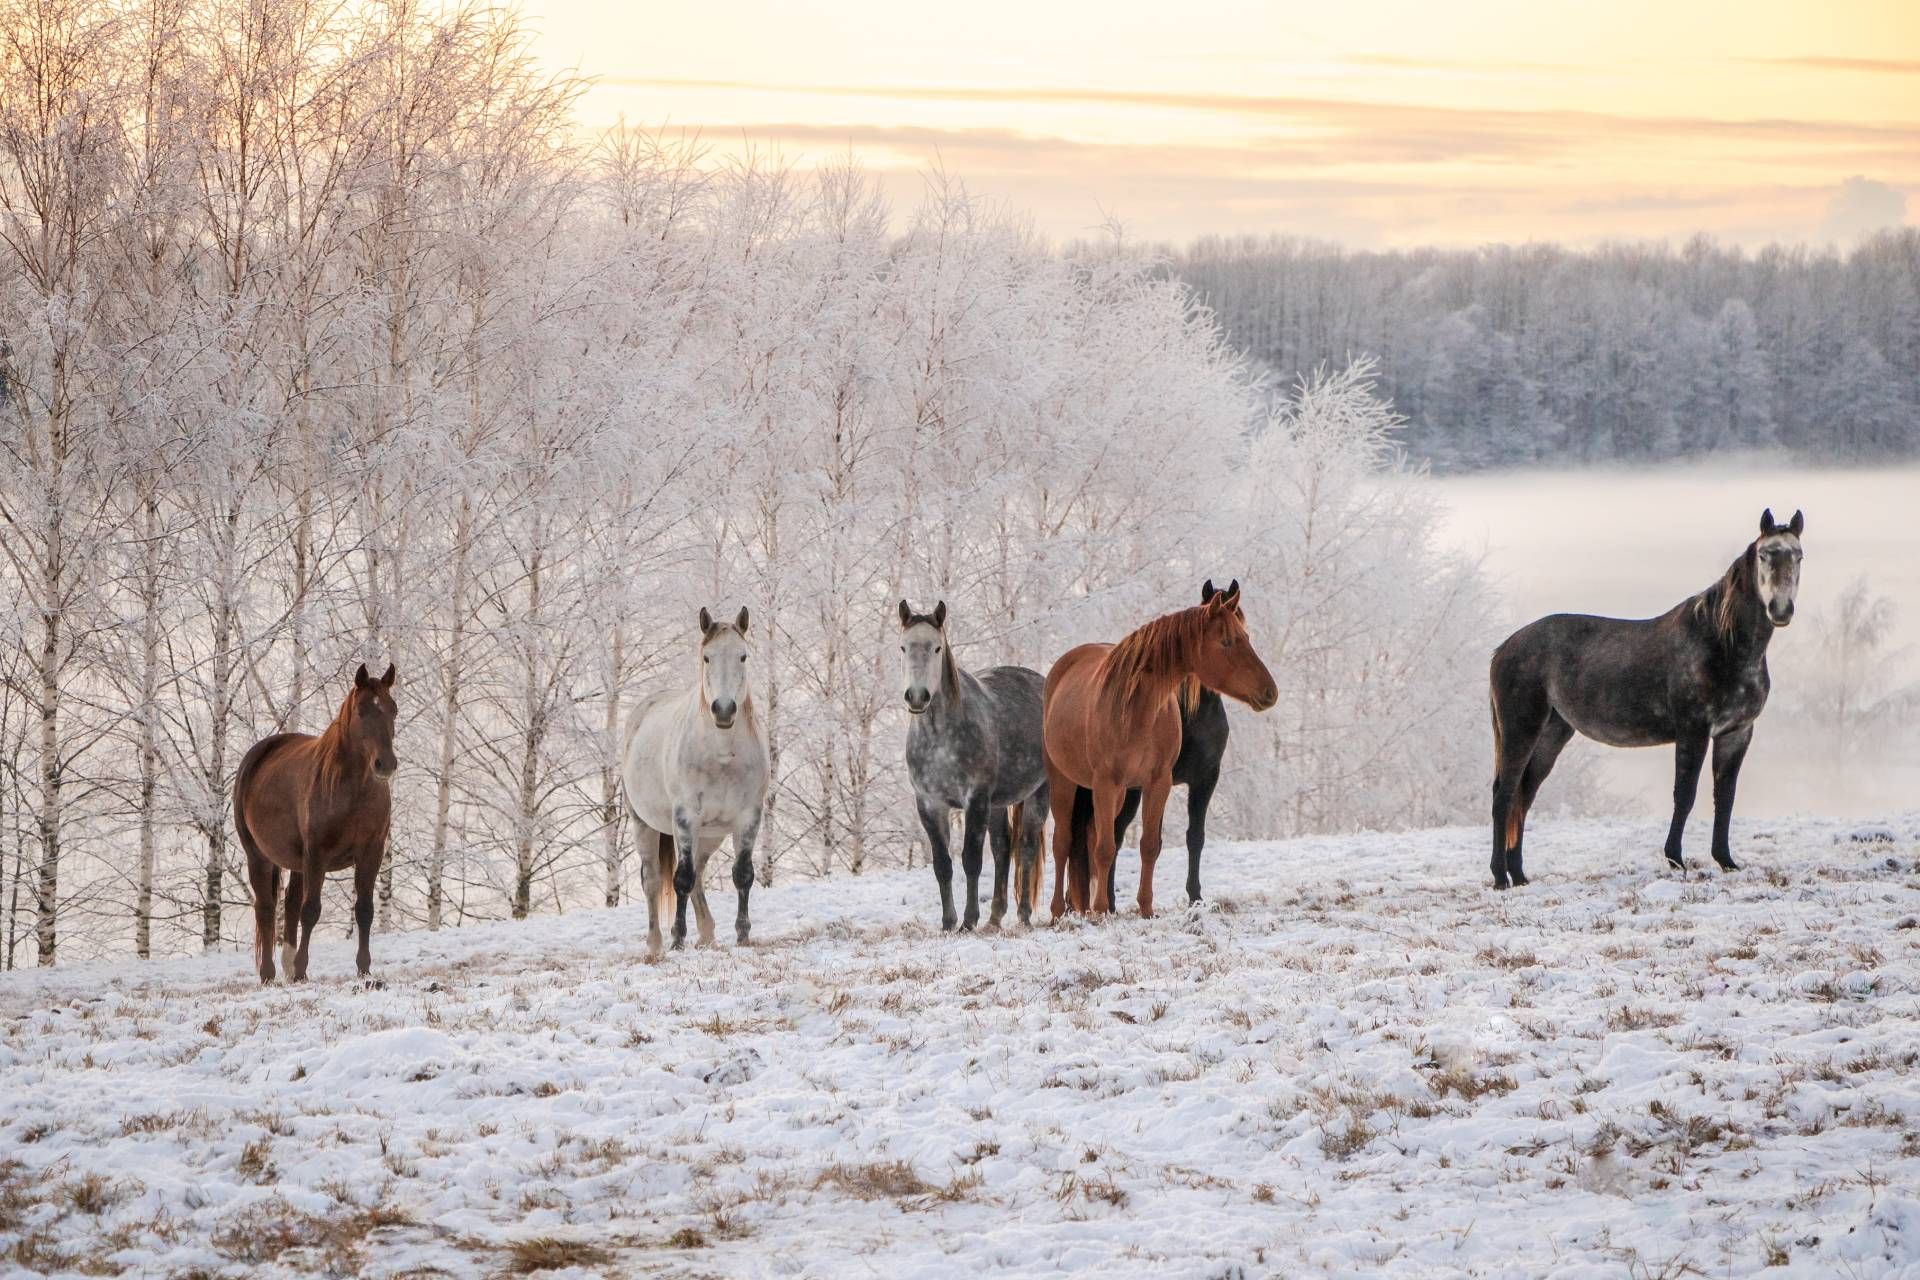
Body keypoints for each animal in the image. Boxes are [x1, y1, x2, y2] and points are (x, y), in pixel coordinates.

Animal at [235, 663, 398, 984]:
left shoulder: (371, 852)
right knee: (266, 907)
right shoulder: (317, 855)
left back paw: (285, 968)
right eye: (361, 711)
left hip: (298, 863)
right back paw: (269, 973)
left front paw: (364, 970)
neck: (352, 791)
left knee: (289, 903)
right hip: (258, 856)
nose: (385, 764)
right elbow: (311, 910)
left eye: (393, 710)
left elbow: (364, 909)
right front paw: (301, 969)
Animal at [620, 607, 770, 961]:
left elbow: (742, 875)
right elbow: (681, 879)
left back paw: (707, 934)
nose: (724, 710)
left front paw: (743, 935)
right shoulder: (686, 816)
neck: (722, 752)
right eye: (706, 657)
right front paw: (677, 939)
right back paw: (656, 944)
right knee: (653, 880)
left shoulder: (748, 816)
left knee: (700, 874)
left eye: (743, 656)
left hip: (710, 834)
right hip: (644, 824)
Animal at [897, 600, 1049, 930]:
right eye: (903, 647)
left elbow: (971, 859)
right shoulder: (929, 804)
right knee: (1004, 848)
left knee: (1027, 847)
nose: (917, 697)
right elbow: (943, 864)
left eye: (937, 648)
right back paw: (995, 918)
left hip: (1040, 792)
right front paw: (948, 922)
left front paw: (968, 921)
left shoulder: (975, 799)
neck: (940, 737)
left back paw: (1024, 916)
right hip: (998, 803)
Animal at [1043, 579, 1277, 918]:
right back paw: (1060, 909)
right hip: (1066, 782)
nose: (1270, 692)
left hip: (1121, 793)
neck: (1136, 709)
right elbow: (1105, 848)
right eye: (1227, 641)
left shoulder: (1158, 782)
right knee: (1063, 842)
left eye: (1246, 635)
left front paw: (1145, 908)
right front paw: (1101, 910)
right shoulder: (1106, 783)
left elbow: (1149, 845)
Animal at [1487, 508, 1804, 889]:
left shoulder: (1736, 733)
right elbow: (1685, 794)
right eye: (1764, 555)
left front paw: (1726, 861)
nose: (1780, 609)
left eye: (1798, 556)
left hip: (1552, 733)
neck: (1721, 643)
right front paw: (1676, 860)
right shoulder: (1693, 731)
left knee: (1523, 796)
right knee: (1504, 796)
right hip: (1521, 730)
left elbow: (1724, 797)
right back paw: (1500, 877)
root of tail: (1505, 648)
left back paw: (1519, 875)